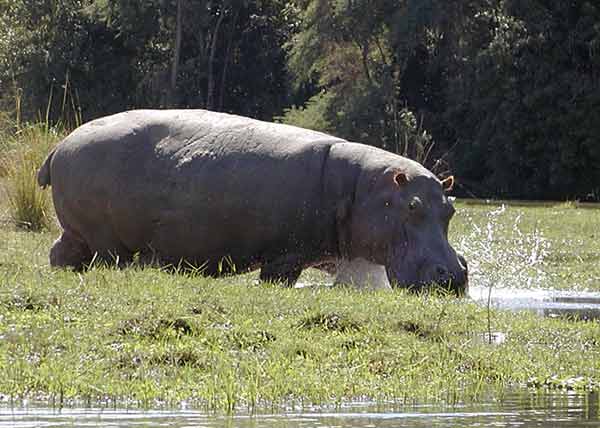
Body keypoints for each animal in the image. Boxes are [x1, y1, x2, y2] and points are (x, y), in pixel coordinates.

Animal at [37, 109, 468, 294]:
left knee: (60, 253)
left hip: (77, 232)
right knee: (108, 259)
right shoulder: (286, 254)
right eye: (412, 206)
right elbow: (277, 279)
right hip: (106, 239)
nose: (454, 274)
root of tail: (61, 144)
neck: (363, 187)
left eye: (450, 208)